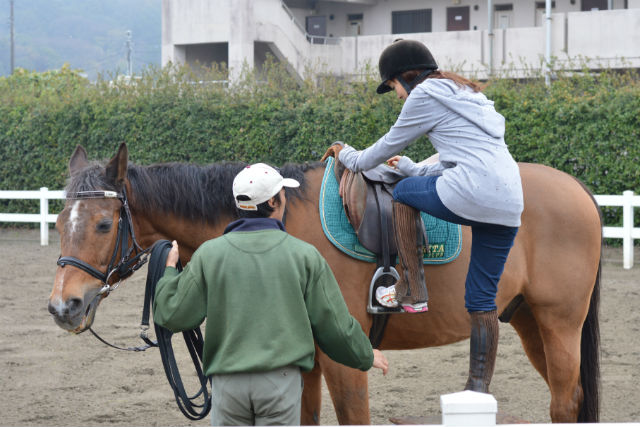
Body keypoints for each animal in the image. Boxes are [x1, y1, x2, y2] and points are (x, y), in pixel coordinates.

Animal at [48, 143, 601, 424]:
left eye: (104, 224)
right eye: (58, 221)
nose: (63, 306)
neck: (278, 222)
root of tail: (578, 187)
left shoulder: (344, 359)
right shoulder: (308, 359)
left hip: (559, 325)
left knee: (563, 402)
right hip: (529, 323)